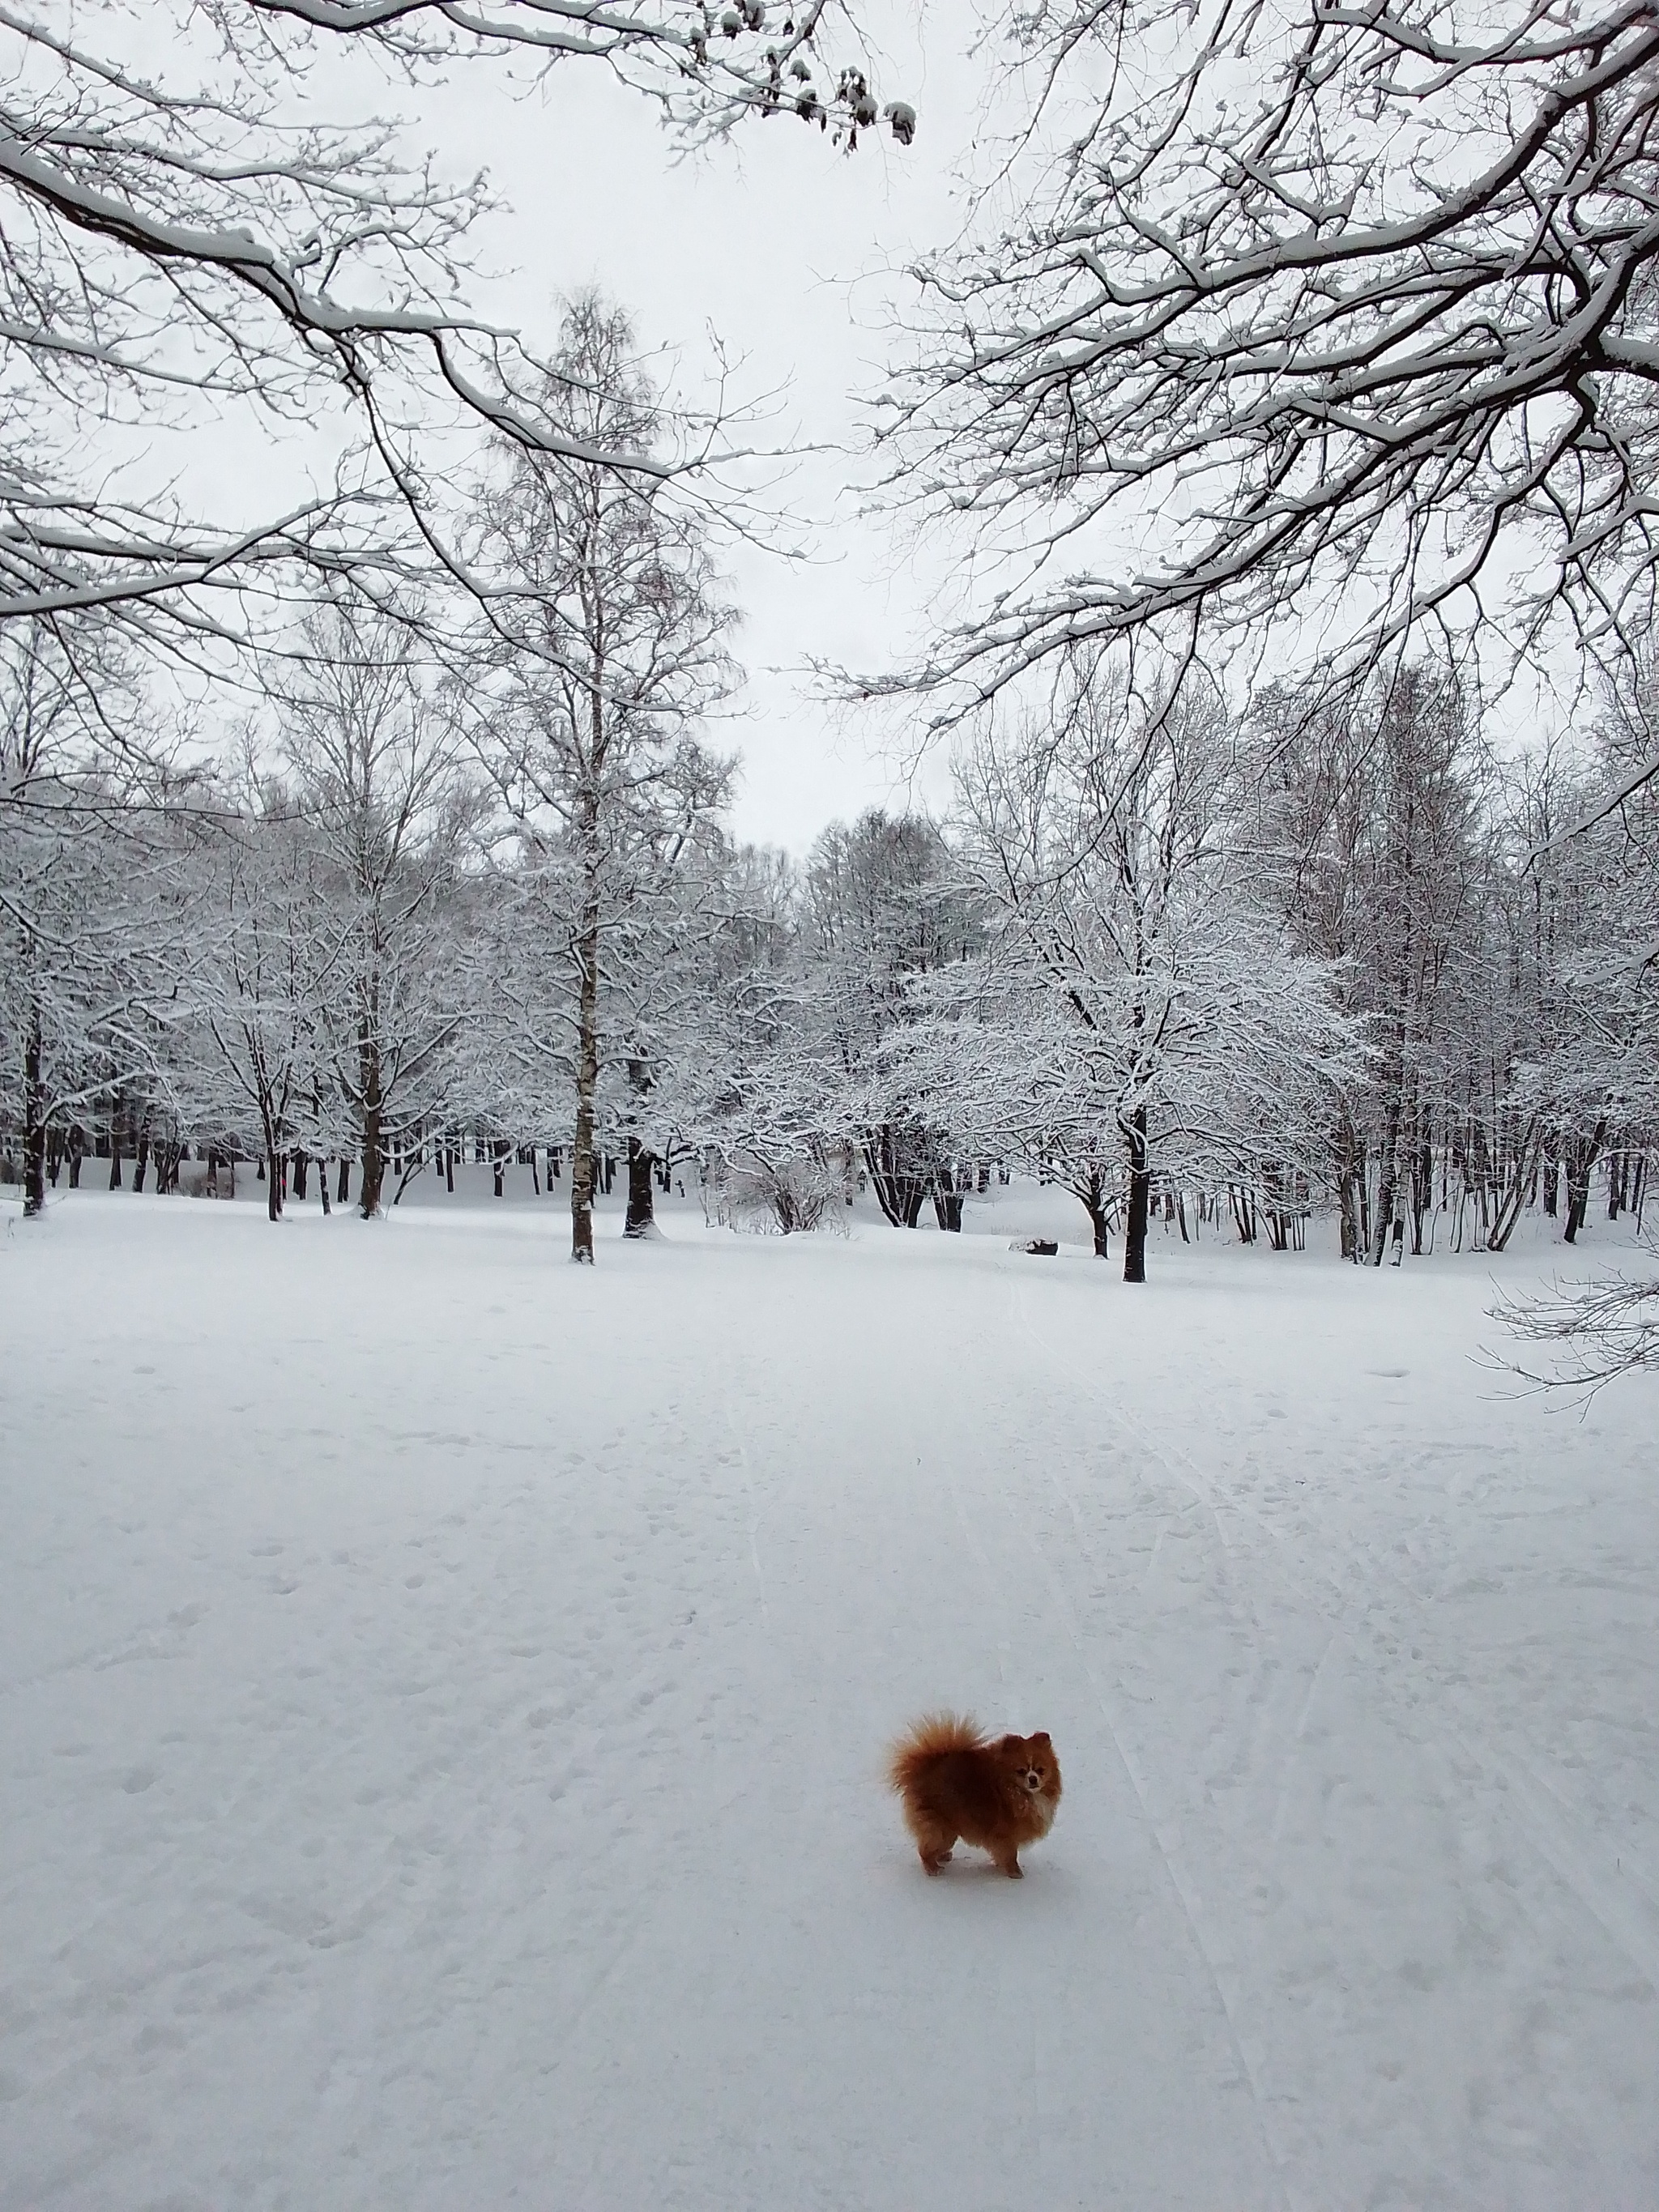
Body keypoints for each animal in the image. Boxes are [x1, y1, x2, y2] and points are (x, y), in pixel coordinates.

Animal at [885, 1707, 1066, 1866]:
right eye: (1021, 1771)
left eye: (1041, 1770)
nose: (1033, 1779)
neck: (1018, 1793)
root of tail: (925, 1766)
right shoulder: (1005, 1835)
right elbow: (1009, 1856)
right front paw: (1015, 1874)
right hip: (942, 1829)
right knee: (925, 1850)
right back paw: (933, 1868)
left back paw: (943, 1857)